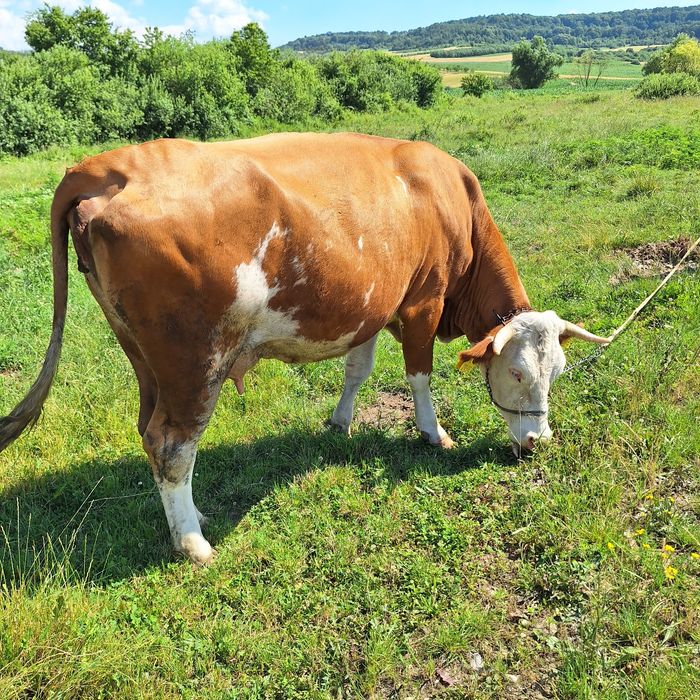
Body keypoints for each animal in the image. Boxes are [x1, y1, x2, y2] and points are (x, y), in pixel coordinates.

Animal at [0, 132, 610, 564]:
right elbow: (419, 375)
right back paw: (194, 542)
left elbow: (358, 369)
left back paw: (184, 522)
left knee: (149, 432)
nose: (537, 441)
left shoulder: (374, 305)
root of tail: (109, 166)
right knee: (171, 445)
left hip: (145, 359)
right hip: (195, 363)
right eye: (518, 373)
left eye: (556, 372)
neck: (452, 199)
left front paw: (340, 422)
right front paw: (433, 433)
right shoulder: (422, 303)